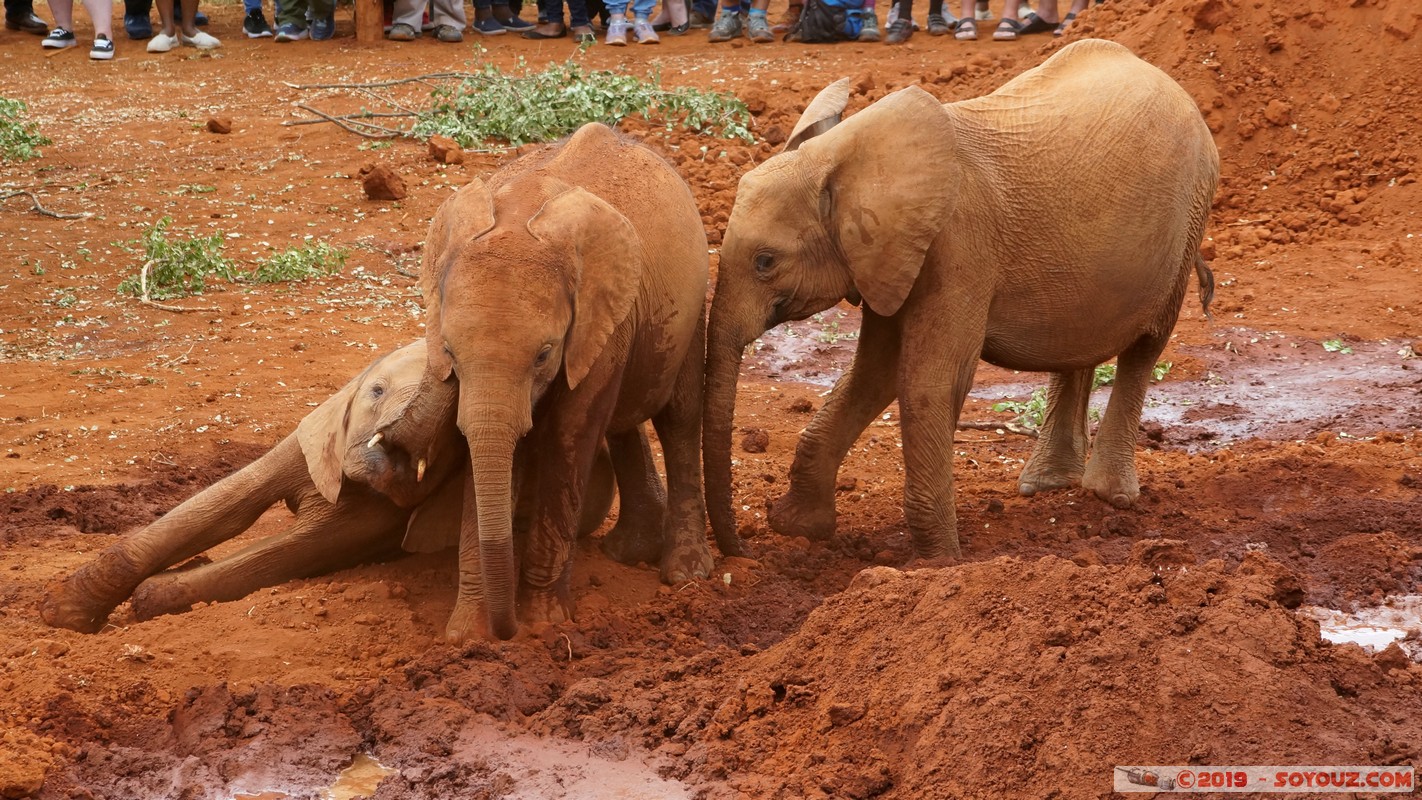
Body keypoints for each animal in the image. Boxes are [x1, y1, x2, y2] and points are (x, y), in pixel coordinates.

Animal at [37, 341, 617, 636]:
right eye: (376, 391)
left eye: (448, 438)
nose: (391, 453)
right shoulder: (318, 432)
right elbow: (226, 503)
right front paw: (61, 613)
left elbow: (296, 548)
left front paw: (152, 597)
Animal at [705, 39, 1217, 562]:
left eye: (765, 262)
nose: (743, 551)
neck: (841, 157)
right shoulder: (891, 258)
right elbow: (875, 373)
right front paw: (800, 529)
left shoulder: (957, 246)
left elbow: (928, 381)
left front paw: (939, 564)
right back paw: (1045, 486)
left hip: (1191, 213)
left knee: (1145, 346)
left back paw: (1110, 496)